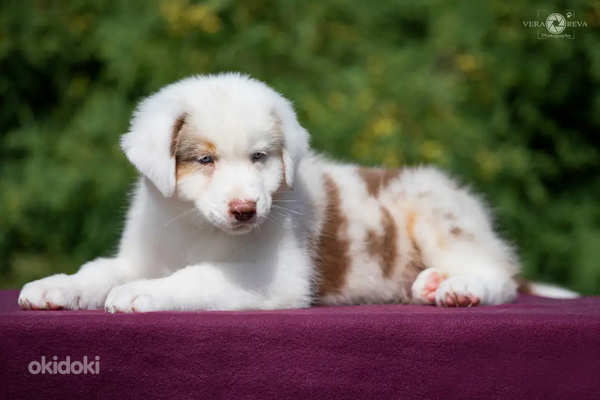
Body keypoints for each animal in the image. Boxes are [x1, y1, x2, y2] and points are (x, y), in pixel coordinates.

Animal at [18, 72, 580, 312]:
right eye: (205, 160)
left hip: (437, 211)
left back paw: (460, 286)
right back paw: (429, 283)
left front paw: (143, 294)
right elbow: (101, 270)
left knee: (498, 274)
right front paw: (56, 287)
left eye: (260, 157)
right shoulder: (143, 252)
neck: (195, 227)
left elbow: (199, 277)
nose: (246, 210)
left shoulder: (275, 276)